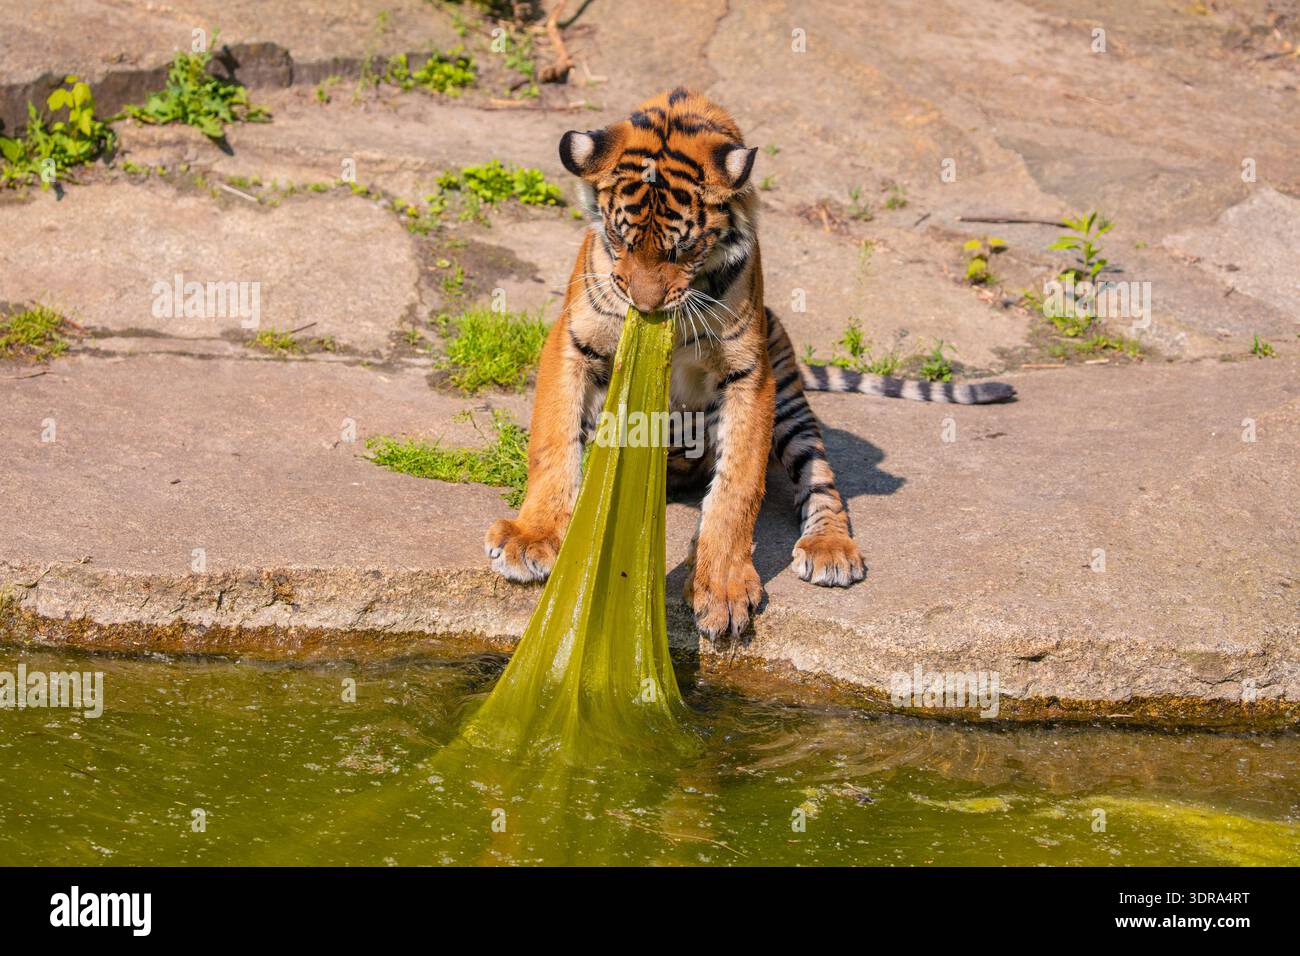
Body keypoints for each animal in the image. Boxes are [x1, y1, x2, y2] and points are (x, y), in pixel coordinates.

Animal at [484, 89, 1014, 640]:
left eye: (684, 249)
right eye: (621, 239)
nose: (646, 308)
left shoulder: (748, 375)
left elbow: (737, 488)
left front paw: (721, 588)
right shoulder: (573, 342)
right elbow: (553, 444)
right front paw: (532, 537)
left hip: (791, 407)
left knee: (821, 482)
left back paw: (831, 550)